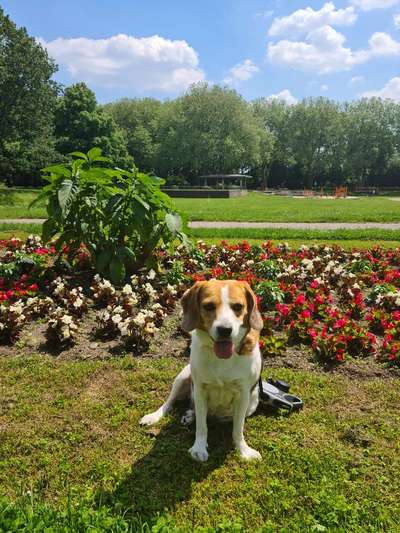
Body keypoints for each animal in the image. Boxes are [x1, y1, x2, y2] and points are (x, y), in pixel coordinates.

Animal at [139, 278, 264, 462]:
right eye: (209, 306)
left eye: (238, 307)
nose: (225, 330)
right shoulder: (199, 389)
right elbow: (202, 426)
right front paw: (199, 447)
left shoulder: (243, 394)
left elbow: (238, 428)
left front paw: (243, 449)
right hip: (183, 376)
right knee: (170, 403)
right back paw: (157, 416)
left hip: (253, 402)